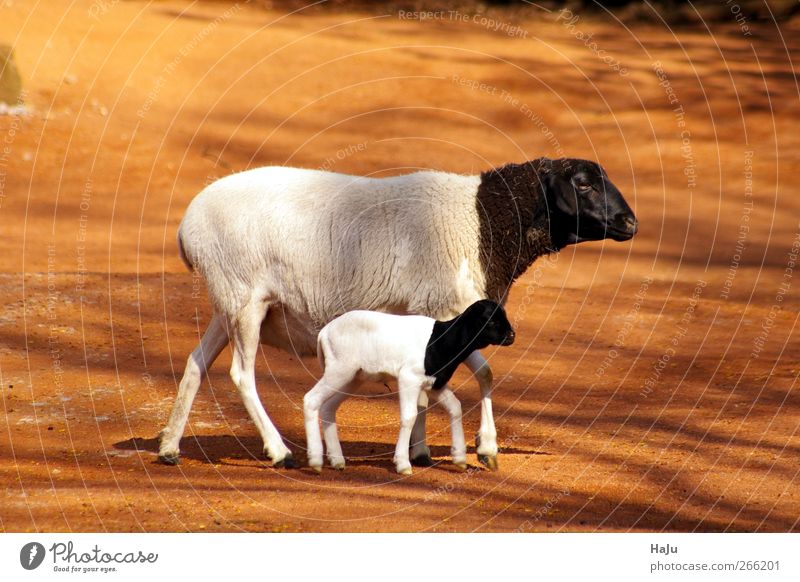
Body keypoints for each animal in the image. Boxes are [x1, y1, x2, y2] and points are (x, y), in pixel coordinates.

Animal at [304, 302, 516, 474]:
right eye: (490, 321)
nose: (512, 335)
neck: (441, 340)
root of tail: (324, 332)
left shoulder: (435, 383)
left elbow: (455, 407)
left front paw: (460, 459)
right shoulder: (409, 378)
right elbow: (409, 416)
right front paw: (403, 464)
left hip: (352, 377)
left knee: (328, 407)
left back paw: (337, 461)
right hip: (339, 369)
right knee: (311, 400)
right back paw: (315, 461)